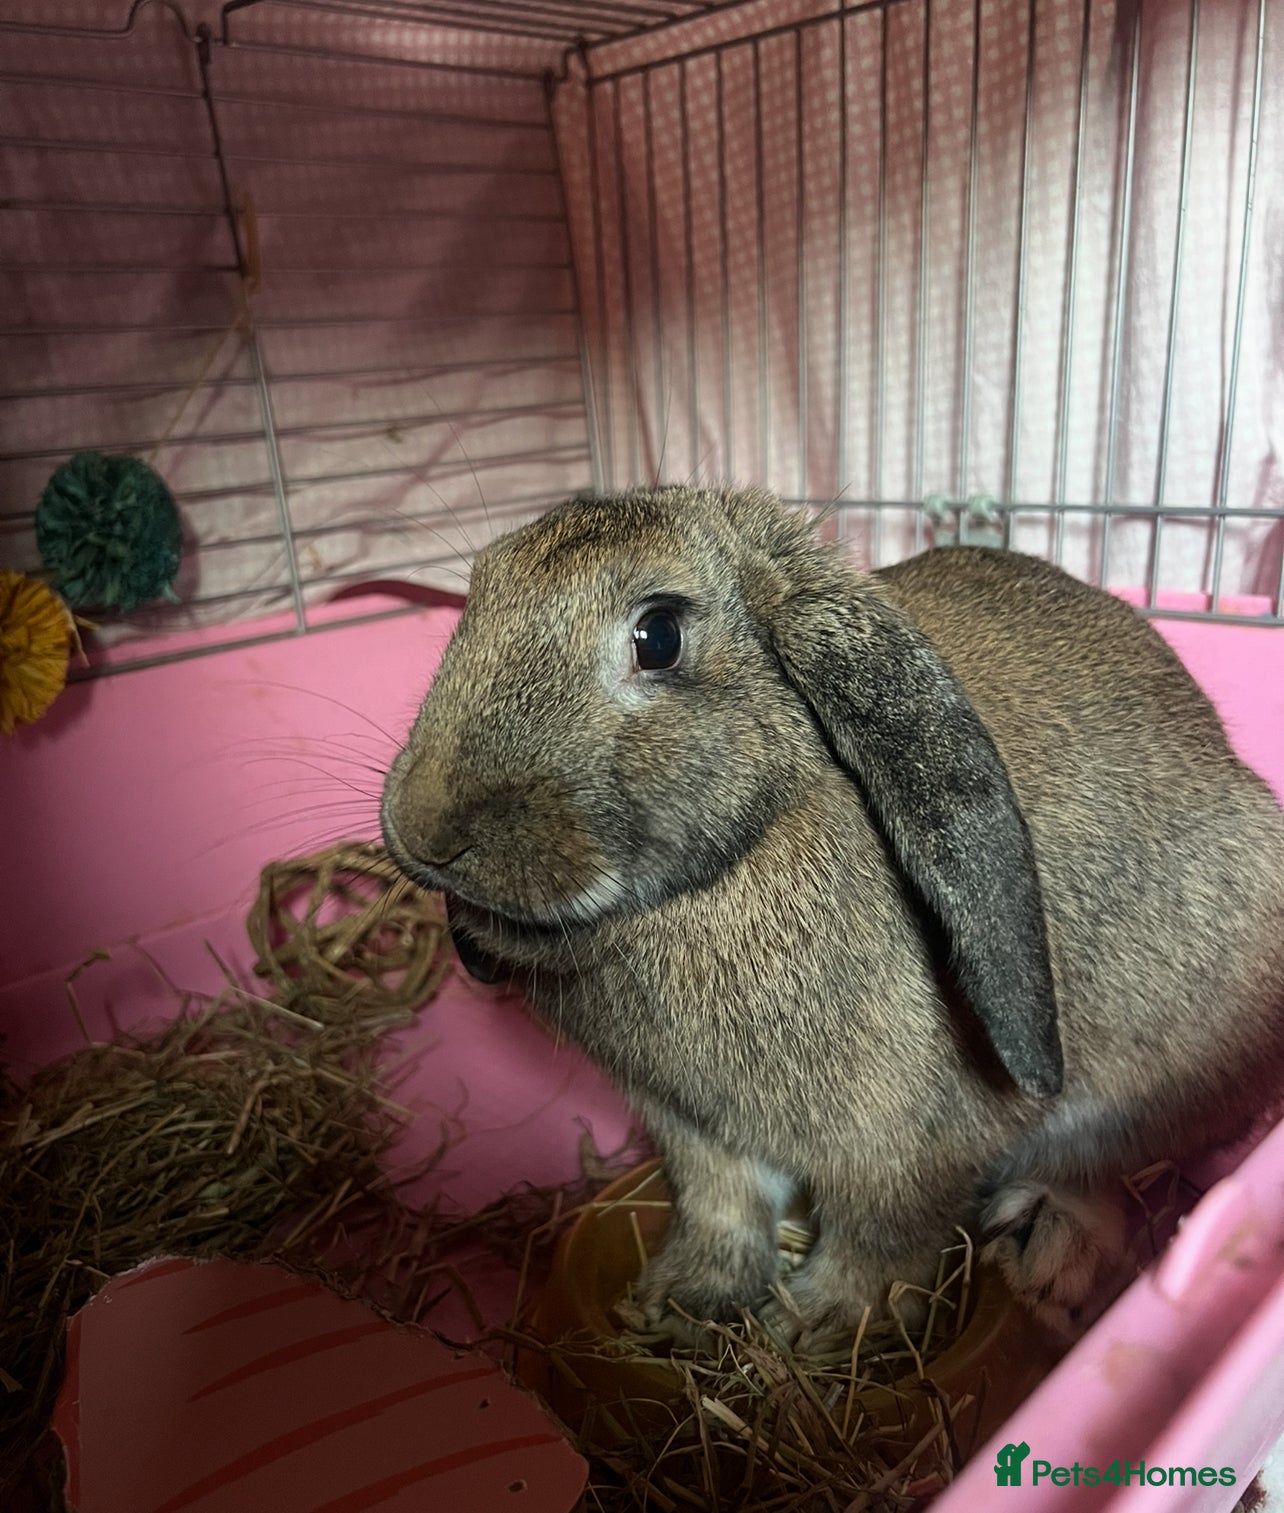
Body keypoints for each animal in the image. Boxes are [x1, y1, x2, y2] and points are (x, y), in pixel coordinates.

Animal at [380, 484, 1284, 1347]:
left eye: (659, 635)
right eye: (477, 595)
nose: (426, 833)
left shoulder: (904, 1149)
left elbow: (883, 1239)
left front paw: (818, 1323)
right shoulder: (695, 1131)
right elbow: (723, 1206)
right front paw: (682, 1301)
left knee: (1108, 1171)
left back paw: (1049, 1251)